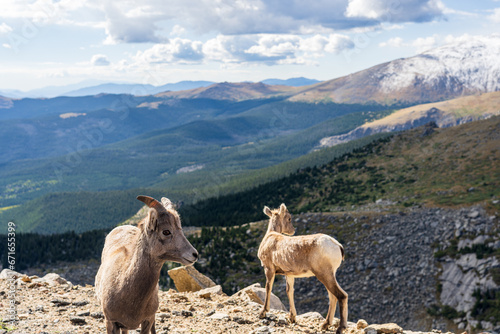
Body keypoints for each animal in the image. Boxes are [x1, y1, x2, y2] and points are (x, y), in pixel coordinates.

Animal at [258, 204, 348, 334]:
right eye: (289, 218)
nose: (293, 230)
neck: (270, 237)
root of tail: (337, 245)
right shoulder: (289, 275)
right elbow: (289, 291)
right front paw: (292, 318)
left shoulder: (269, 268)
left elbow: (268, 288)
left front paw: (263, 313)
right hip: (330, 274)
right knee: (332, 296)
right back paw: (325, 325)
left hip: (324, 273)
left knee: (341, 295)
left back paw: (340, 328)